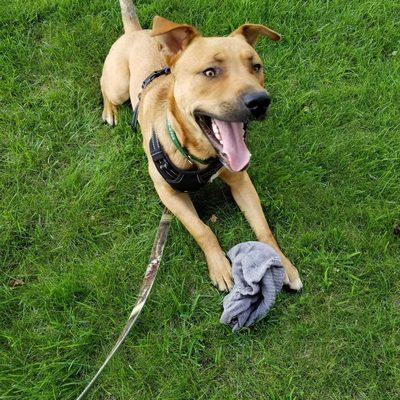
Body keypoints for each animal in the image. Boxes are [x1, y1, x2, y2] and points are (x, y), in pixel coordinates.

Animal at [101, 0, 304, 290]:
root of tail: (136, 31)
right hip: (117, 84)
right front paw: (220, 266)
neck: (199, 155)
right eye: (210, 72)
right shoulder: (169, 194)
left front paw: (283, 264)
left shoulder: (242, 181)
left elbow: (264, 228)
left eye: (256, 66)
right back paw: (110, 112)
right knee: (106, 90)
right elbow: (202, 230)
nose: (260, 101)